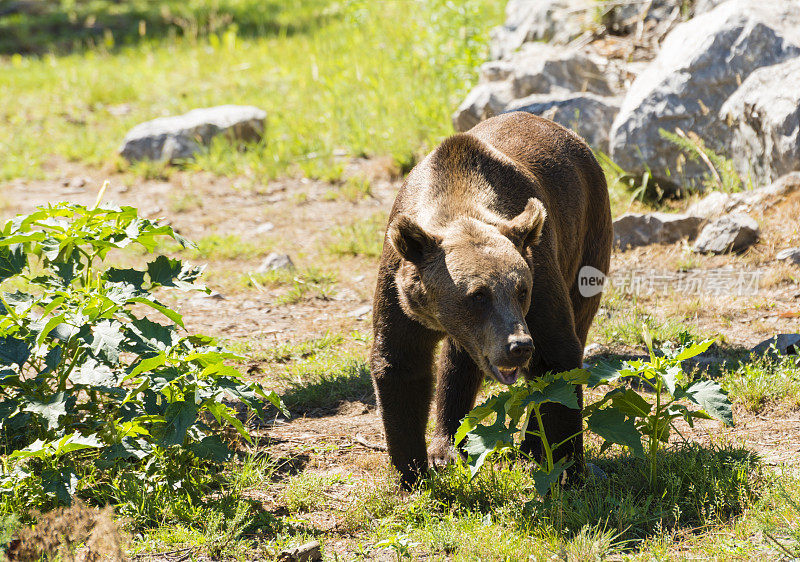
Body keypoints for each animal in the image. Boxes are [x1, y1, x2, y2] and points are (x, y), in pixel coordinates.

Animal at [370, 110, 612, 486]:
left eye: (522, 290)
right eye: (477, 295)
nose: (519, 346)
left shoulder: (539, 270)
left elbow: (557, 362)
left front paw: (568, 469)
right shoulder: (401, 289)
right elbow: (401, 364)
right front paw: (412, 473)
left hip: (588, 236)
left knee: (580, 315)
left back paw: (531, 446)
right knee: (459, 362)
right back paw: (447, 447)